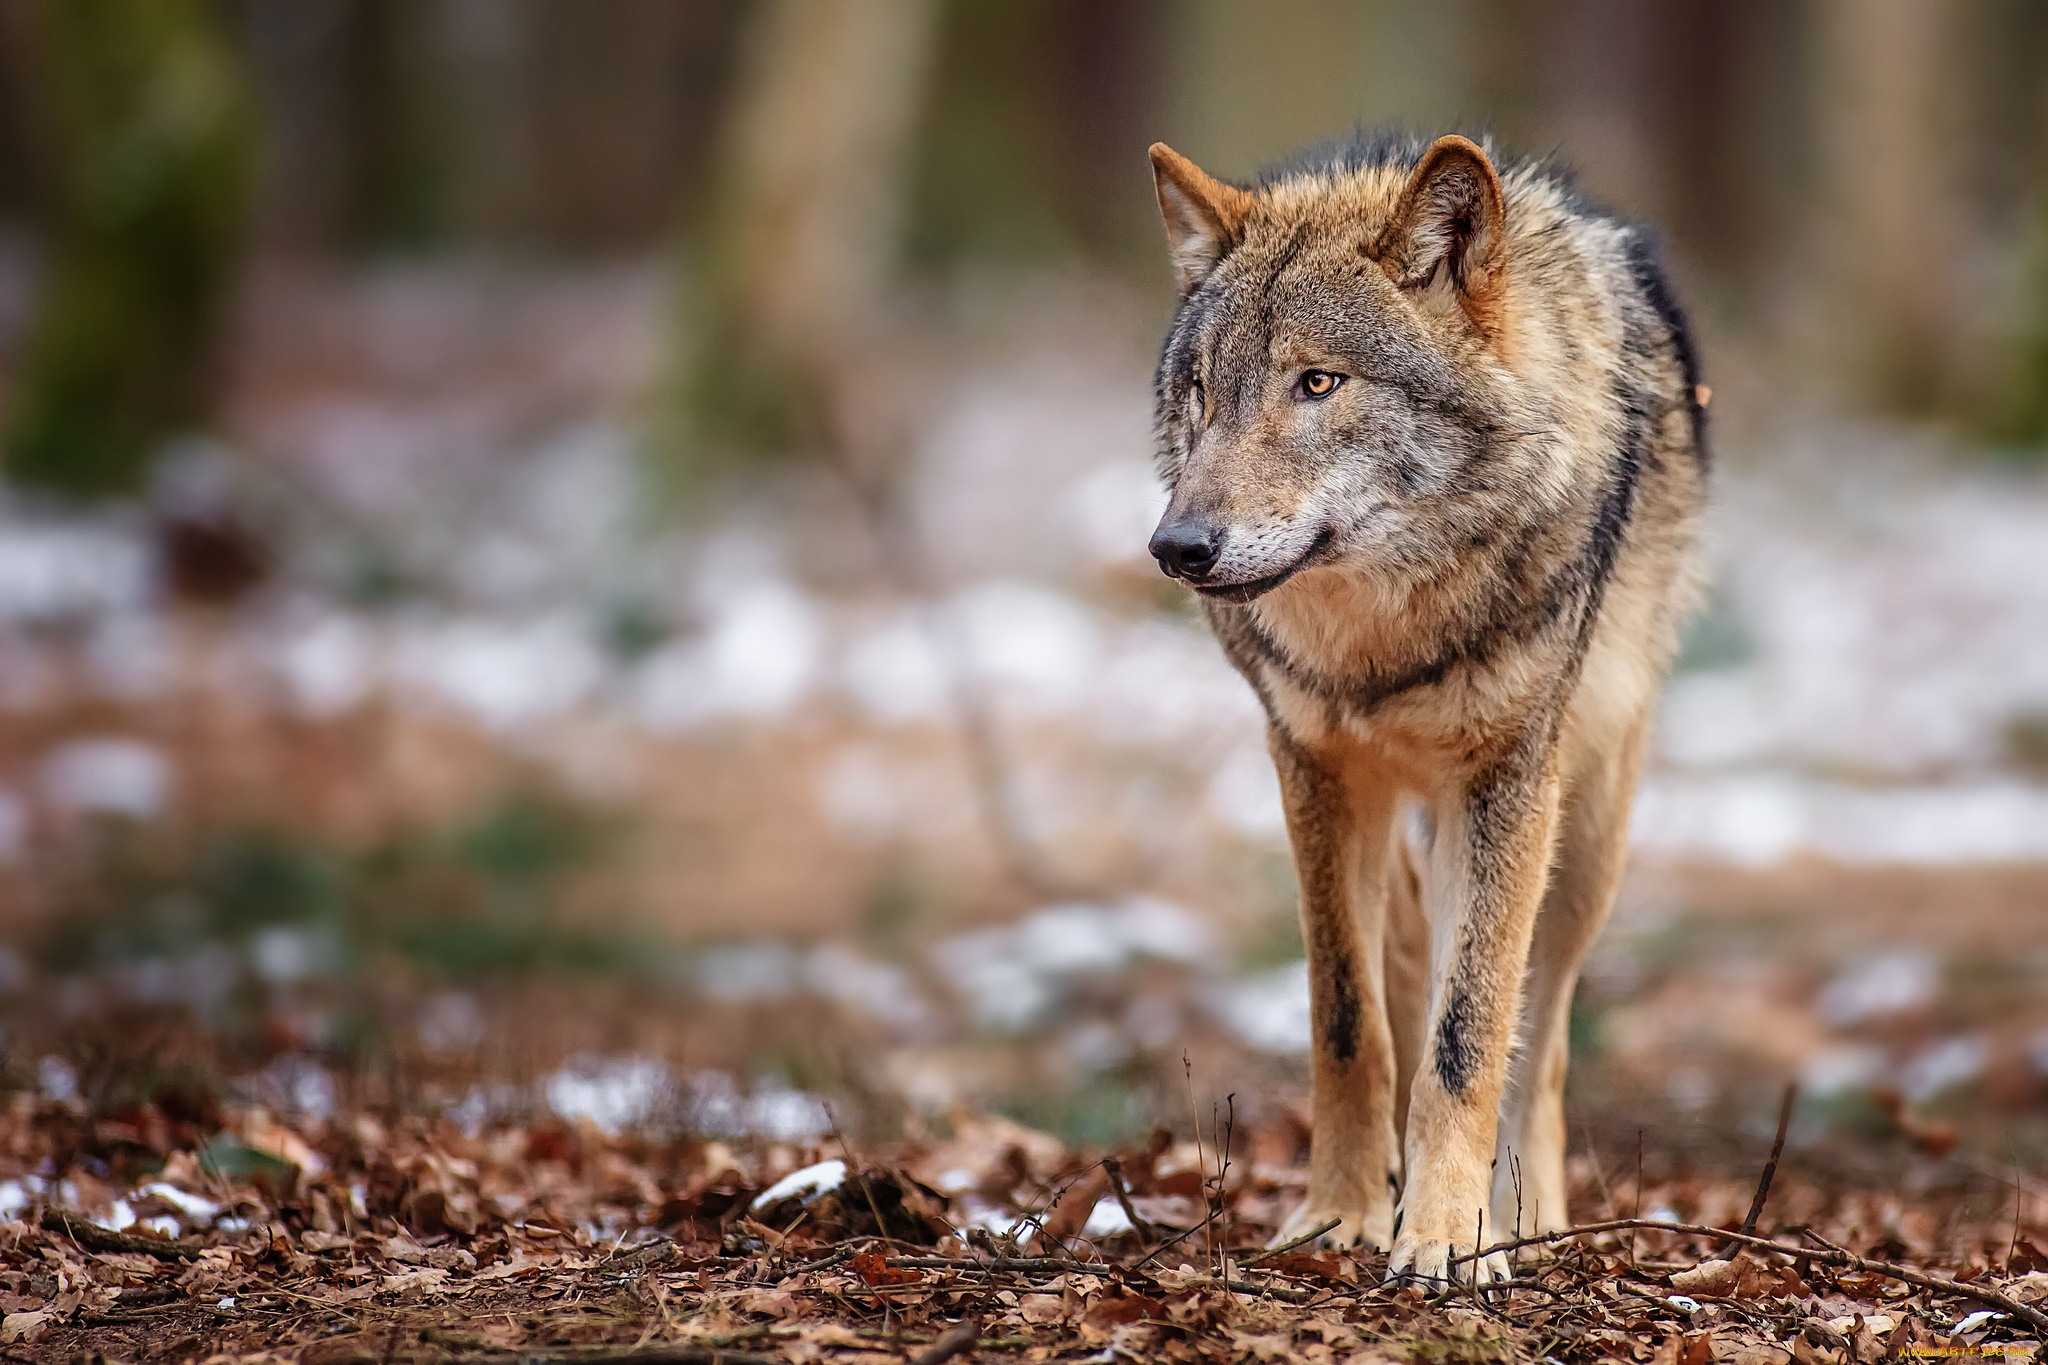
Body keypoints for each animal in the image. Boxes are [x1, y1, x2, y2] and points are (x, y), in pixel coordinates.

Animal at [1146, 127, 1703, 1285]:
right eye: (1202, 390)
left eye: (1317, 382)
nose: (1177, 547)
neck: (1383, 638)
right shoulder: (1311, 768)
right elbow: (1347, 1020)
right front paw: (1341, 1215)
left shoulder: (1505, 781)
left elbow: (1469, 1033)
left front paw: (1451, 1235)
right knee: (1404, 966)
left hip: (1583, 837)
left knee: (1542, 1032)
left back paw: (1525, 1211)